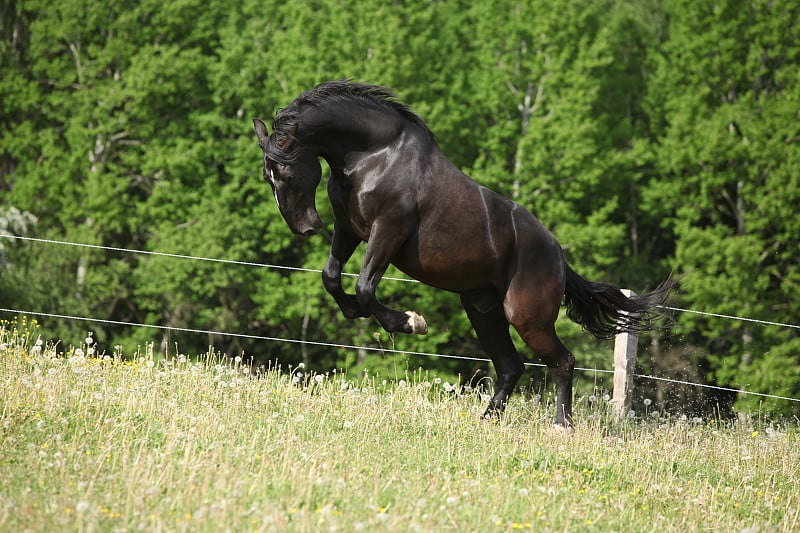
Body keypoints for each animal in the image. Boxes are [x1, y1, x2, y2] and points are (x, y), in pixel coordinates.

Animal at [252, 80, 676, 428]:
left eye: (287, 172)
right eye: (268, 176)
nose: (305, 227)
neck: (374, 155)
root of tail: (558, 257)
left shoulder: (387, 231)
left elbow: (365, 287)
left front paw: (411, 322)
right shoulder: (348, 229)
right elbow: (332, 278)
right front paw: (360, 314)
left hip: (526, 316)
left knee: (562, 361)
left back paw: (560, 425)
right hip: (483, 310)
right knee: (511, 366)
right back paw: (487, 419)